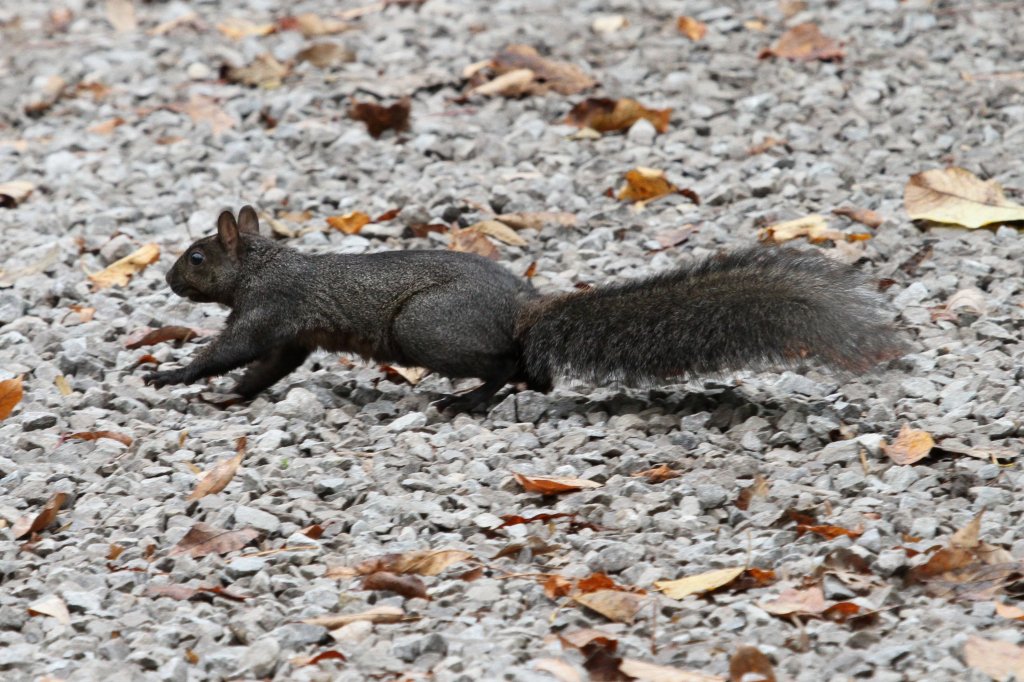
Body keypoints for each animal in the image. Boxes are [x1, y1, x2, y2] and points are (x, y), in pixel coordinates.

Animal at [142, 205, 905, 409]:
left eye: (198, 257)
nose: (172, 282)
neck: (265, 265)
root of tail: (524, 310)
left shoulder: (268, 310)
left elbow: (233, 351)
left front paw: (170, 375)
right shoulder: (289, 333)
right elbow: (264, 368)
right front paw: (232, 396)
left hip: (425, 329)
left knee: (508, 367)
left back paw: (464, 400)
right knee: (533, 373)